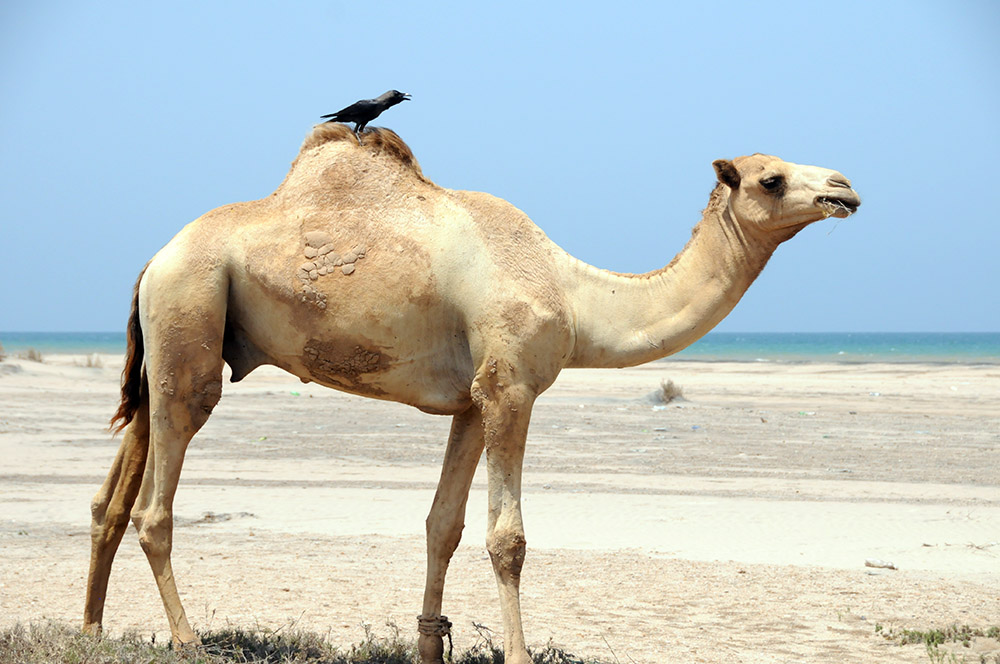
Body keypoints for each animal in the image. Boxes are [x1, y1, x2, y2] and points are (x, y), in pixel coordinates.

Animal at [83, 123, 860, 664]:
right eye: (770, 179)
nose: (844, 186)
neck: (574, 295)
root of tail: (155, 258)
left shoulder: (469, 401)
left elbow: (442, 527)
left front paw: (430, 645)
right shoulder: (511, 387)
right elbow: (506, 538)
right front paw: (516, 655)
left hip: (171, 343)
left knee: (114, 493)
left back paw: (90, 627)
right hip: (191, 316)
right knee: (155, 503)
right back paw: (188, 642)